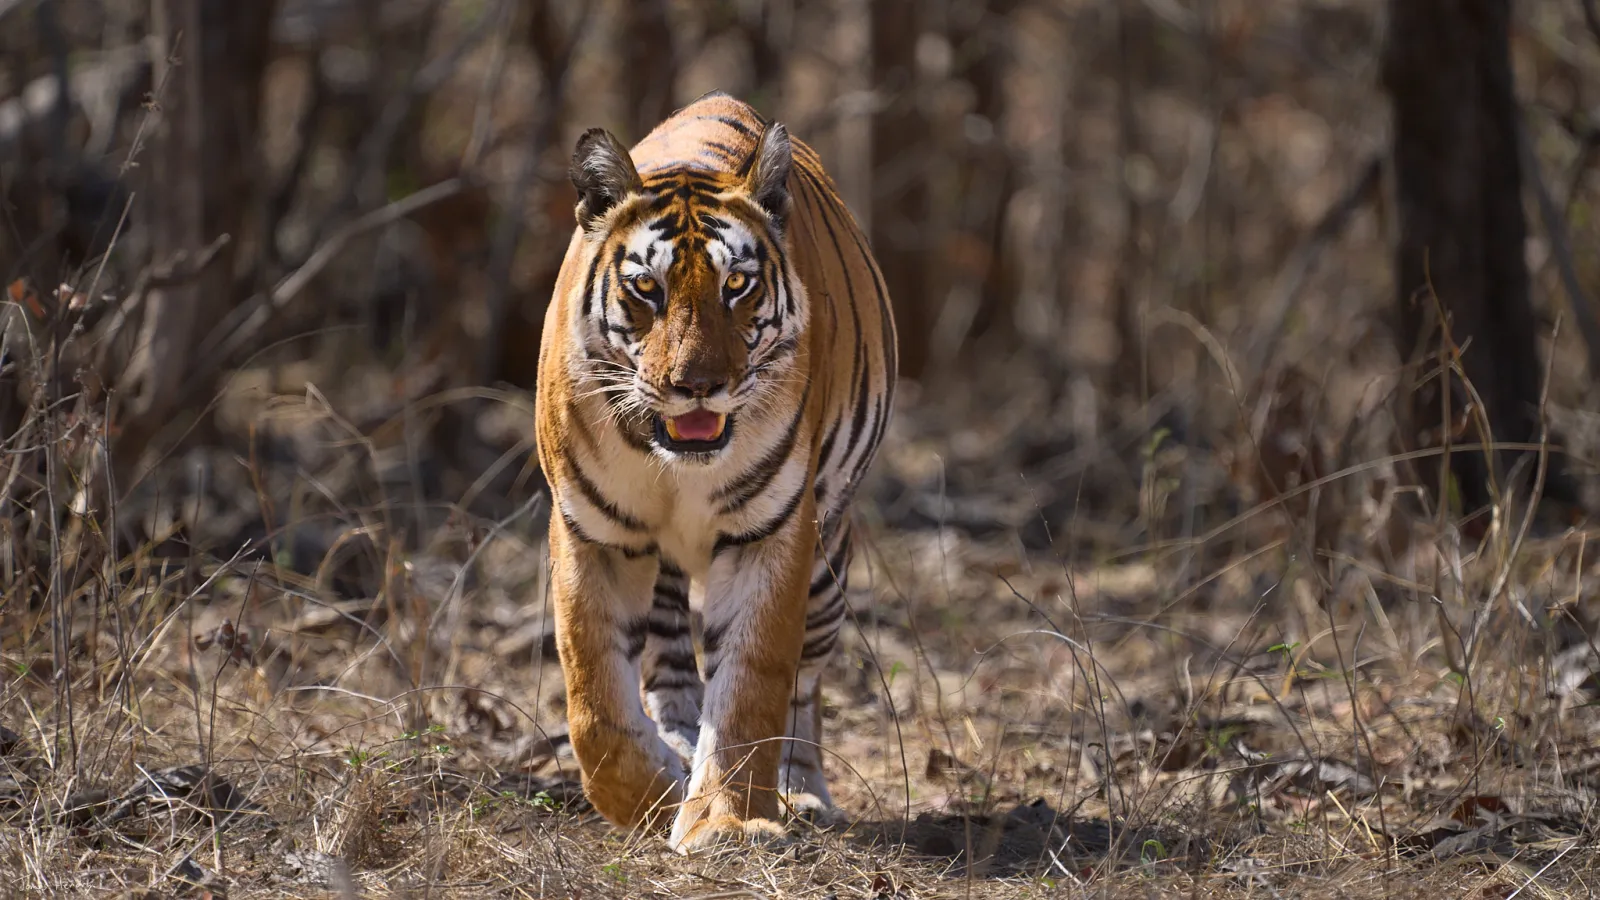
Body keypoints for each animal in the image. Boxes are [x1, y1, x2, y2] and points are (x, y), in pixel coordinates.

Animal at [534, 91, 897, 852]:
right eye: (646, 287)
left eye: (737, 285)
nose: (696, 385)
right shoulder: (592, 531)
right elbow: (592, 699)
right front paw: (651, 798)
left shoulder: (772, 531)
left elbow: (752, 686)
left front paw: (726, 821)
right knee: (668, 663)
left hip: (828, 564)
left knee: (803, 688)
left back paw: (800, 791)